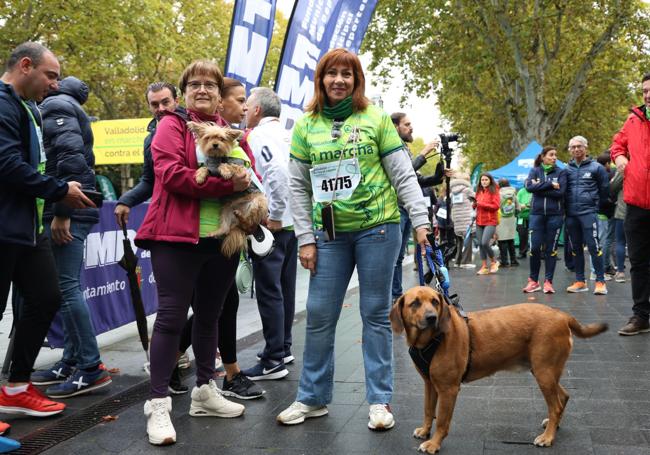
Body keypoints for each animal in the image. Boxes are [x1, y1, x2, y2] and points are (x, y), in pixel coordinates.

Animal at [186, 120, 268, 256]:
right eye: (208, 138)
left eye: (222, 139)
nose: (215, 144)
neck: (217, 156)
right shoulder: (210, 167)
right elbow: (205, 168)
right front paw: (200, 176)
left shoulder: (241, 169)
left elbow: (227, 165)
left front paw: (225, 171)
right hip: (226, 210)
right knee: (226, 228)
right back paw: (217, 231)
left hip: (258, 203)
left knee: (248, 222)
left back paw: (243, 217)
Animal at [390, 286, 608, 454]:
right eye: (415, 303)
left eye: (435, 302)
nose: (432, 318)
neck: (429, 340)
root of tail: (561, 315)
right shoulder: (430, 384)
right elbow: (428, 411)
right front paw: (425, 430)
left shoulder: (448, 389)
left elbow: (442, 421)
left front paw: (434, 443)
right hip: (545, 372)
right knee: (563, 397)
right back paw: (553, 427)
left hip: (544, 373)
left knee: (555, 405)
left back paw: (547, 438)